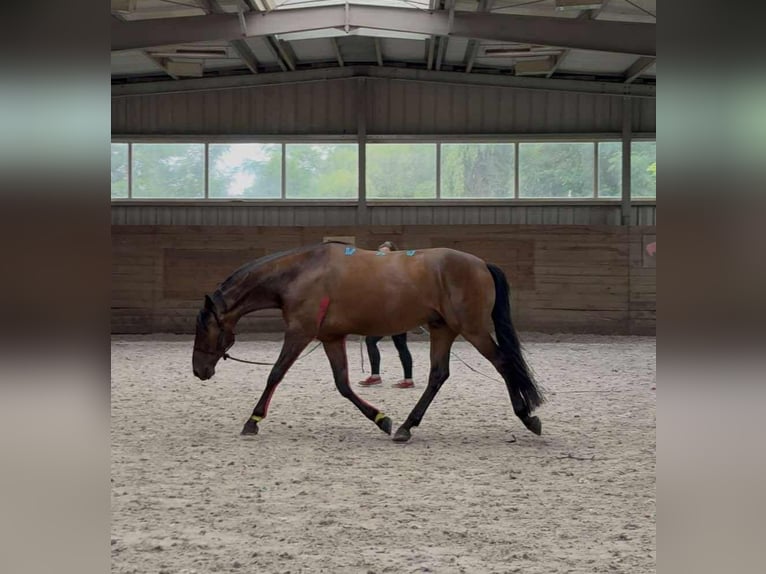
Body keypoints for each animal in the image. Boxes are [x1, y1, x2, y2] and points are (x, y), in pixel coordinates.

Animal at [192, 241, 545, 442]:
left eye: (205, 328)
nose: (199, 370)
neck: (300, 273)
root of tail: (482, 264)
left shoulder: (299, 333)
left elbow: (275, 374)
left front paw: (252, 421)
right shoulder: (331, 338)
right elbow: (343, 385)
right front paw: (381, 420)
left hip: (472, 330)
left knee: (503, 363)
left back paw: (528, 417)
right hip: (442, 330)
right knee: (438, 375)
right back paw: (406, 427)